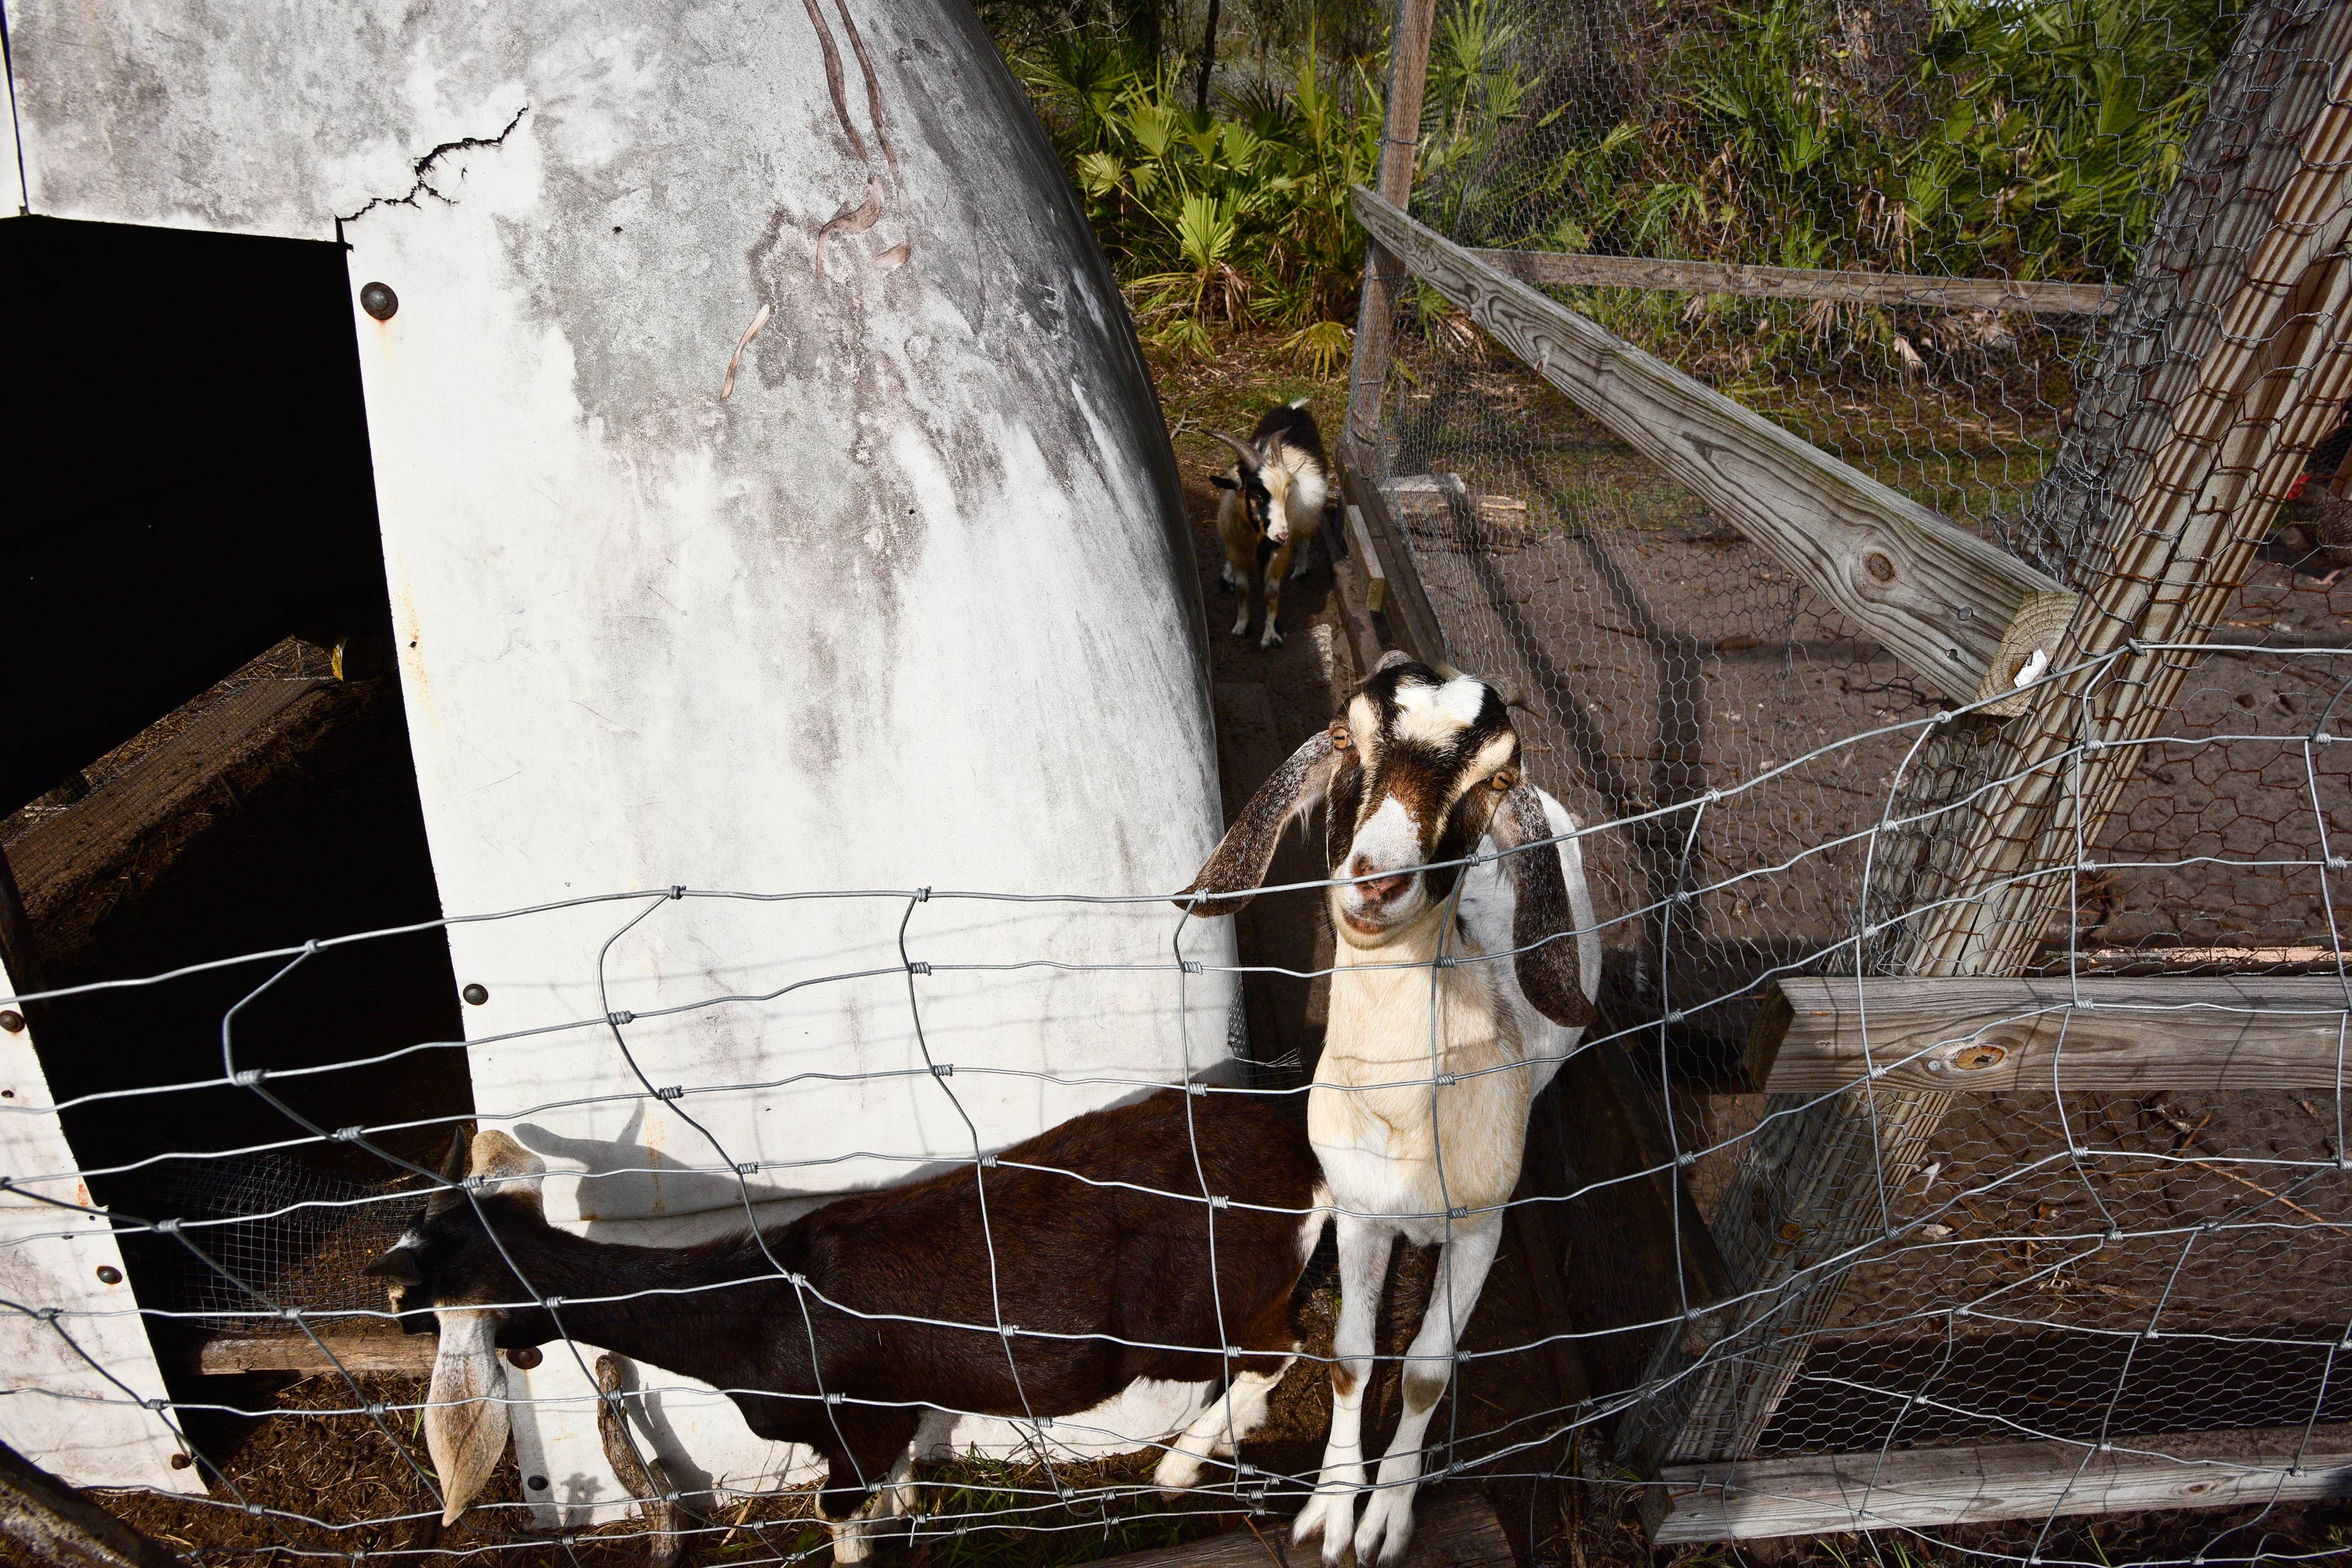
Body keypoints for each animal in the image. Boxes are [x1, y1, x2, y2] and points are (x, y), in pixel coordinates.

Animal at [367, 1090, 1326, 1561]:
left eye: (415, 1306)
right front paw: (911, 1517)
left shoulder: (853, 1425)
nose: (393, 1314)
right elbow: (892, 1490)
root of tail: (1299, 1152)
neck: (749, 1308)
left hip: (1189, 1313)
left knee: (1280, 1346)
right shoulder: (891, 1413)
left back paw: (1177, 1468)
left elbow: (840, 1517)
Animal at [1176, 653, 1599, 1568]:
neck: (1407, 1119)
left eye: (1495, 778)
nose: (1377, 879)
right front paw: (1333, 1511)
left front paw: (1388, 1519)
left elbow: (1429, 1369)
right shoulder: (1365, 1212)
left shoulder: (1480, 1225)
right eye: (1345, 737)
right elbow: (1349, 1356)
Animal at [1213, 404, 1326, 658]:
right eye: (1256, 495)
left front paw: (1269, 636)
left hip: (1311, 514)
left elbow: (1271, 593)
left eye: (1287, 494)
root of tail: (1294, 407)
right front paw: (1241, 626)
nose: (1282, 535)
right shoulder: (1236, 550)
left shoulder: (1278, 555)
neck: (1255, 539)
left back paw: (1301, 569)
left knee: (1306, 536)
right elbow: (1243, 589)